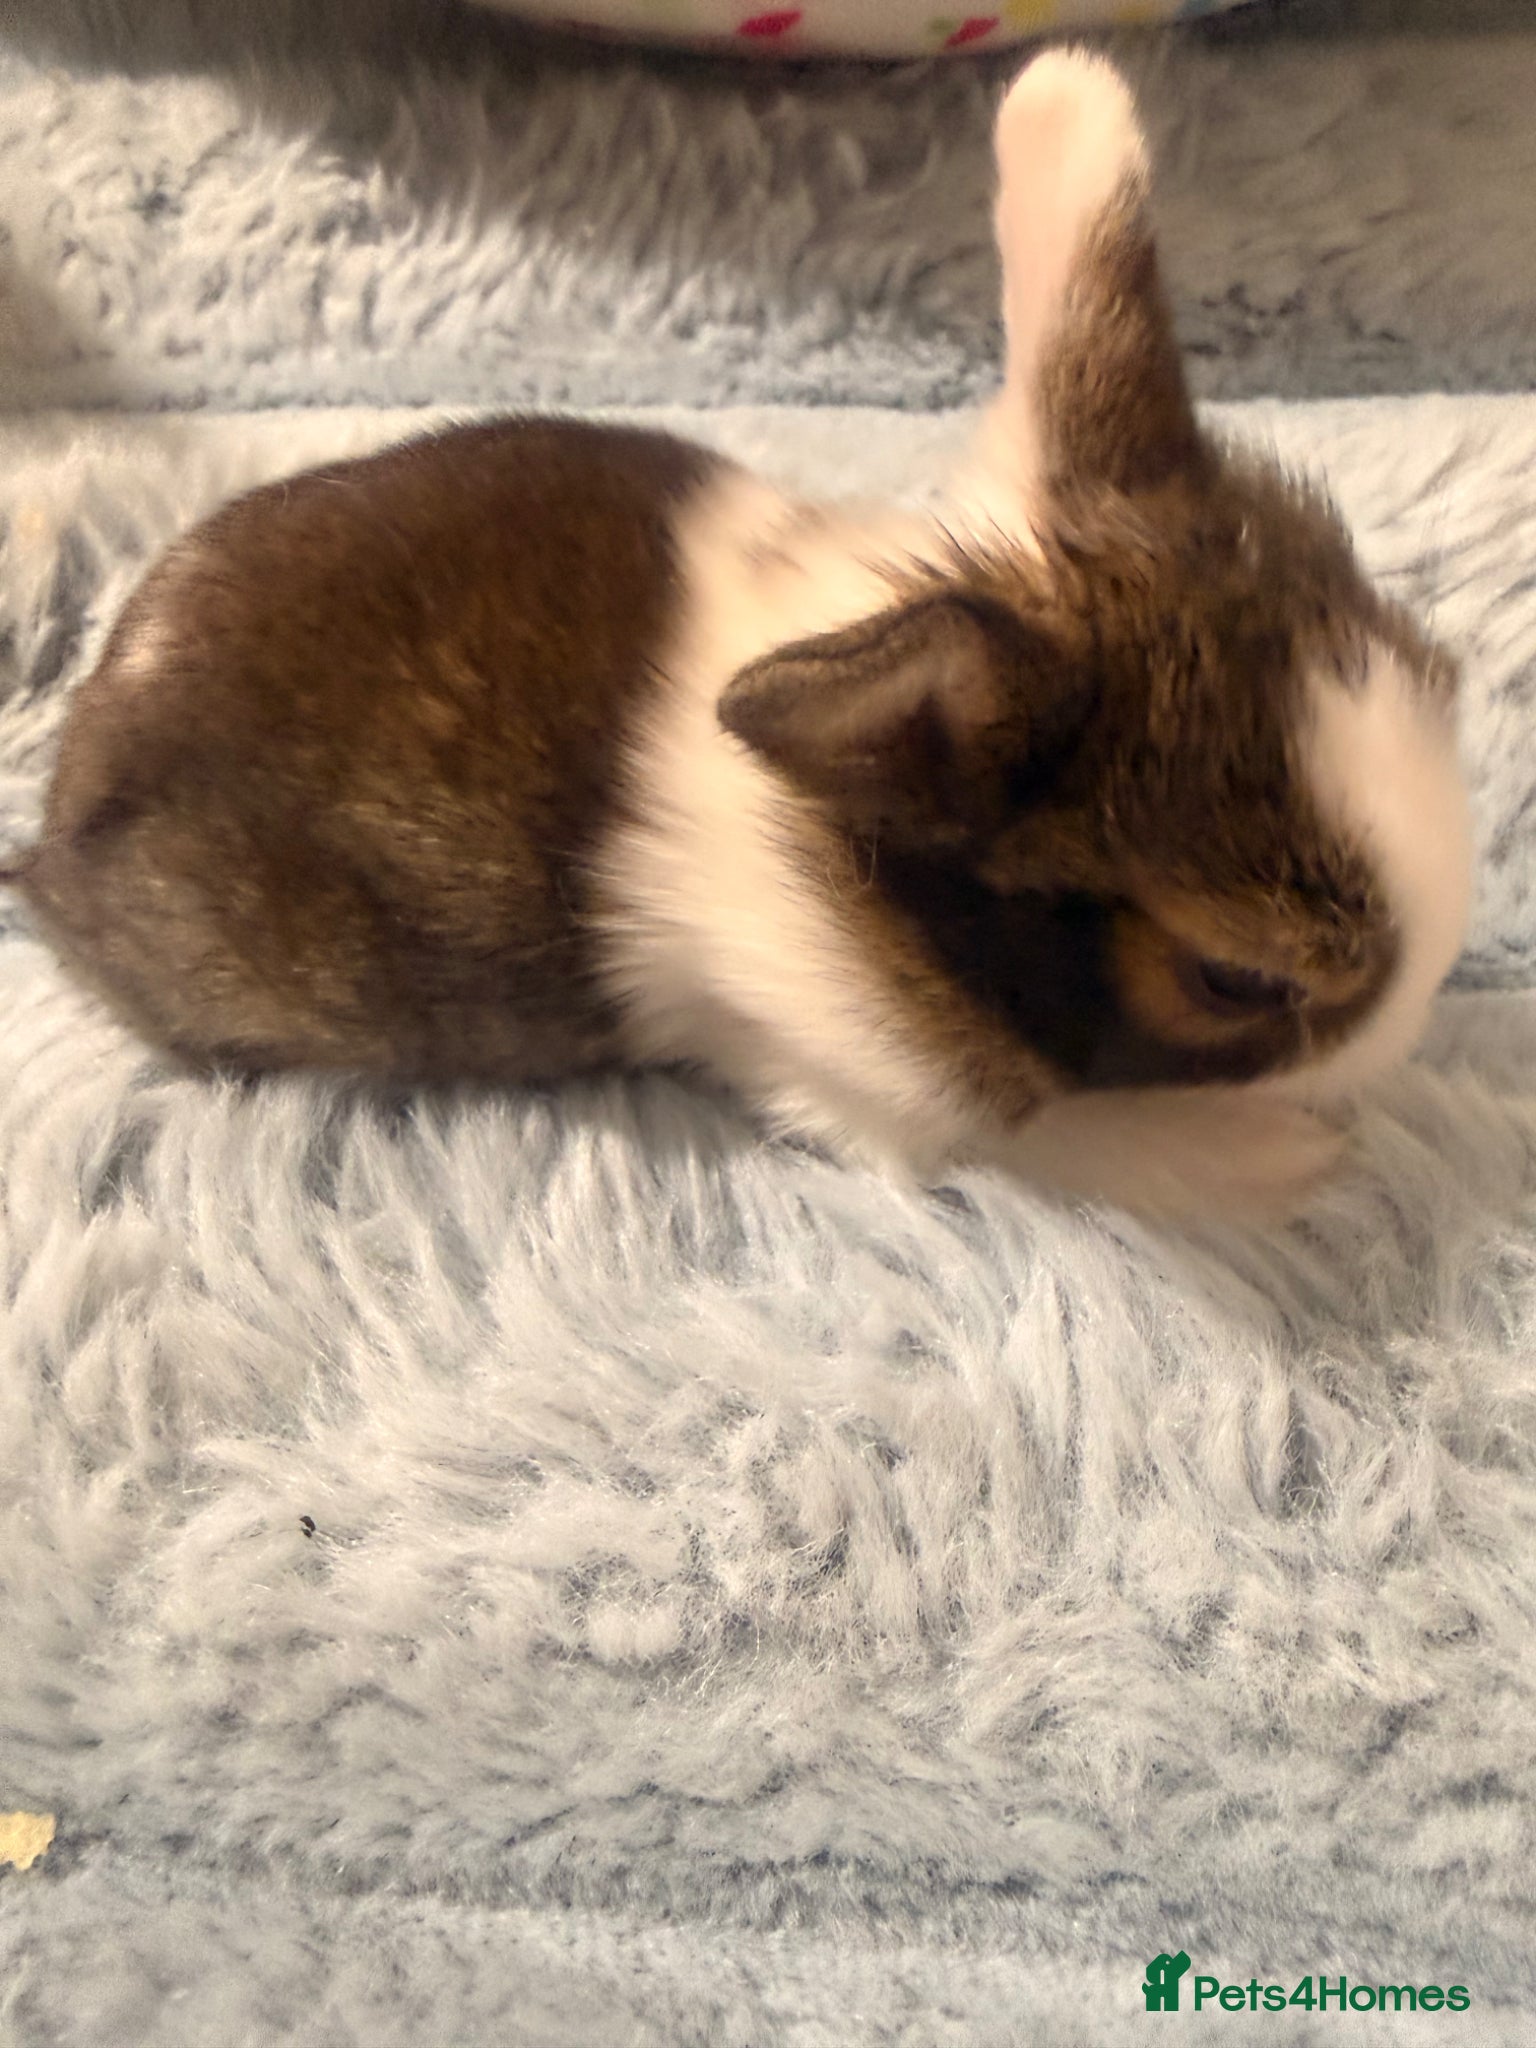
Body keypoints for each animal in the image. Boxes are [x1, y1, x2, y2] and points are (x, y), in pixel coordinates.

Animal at [3, 51, 1472, 1224]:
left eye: (1437, 667)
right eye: (1238, 978)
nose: (1424, 1008)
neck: (880, 870)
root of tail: (61, 812)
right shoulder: (865, 1089)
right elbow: (1051, 1140)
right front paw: (1274, 1161)